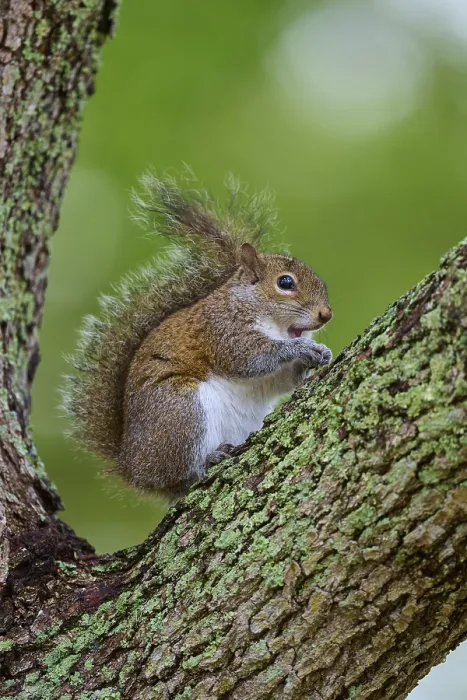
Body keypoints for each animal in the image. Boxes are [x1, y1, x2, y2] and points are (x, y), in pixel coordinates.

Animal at [62, 174, 333, 501]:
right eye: (285, 283)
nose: (326, 314)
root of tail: (133, 466)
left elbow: (278, 381)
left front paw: (320, 353)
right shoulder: (221, 330)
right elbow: (249, 358)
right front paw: (299, 348)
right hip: (181, 411)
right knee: (180, 478)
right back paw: (208, 460)